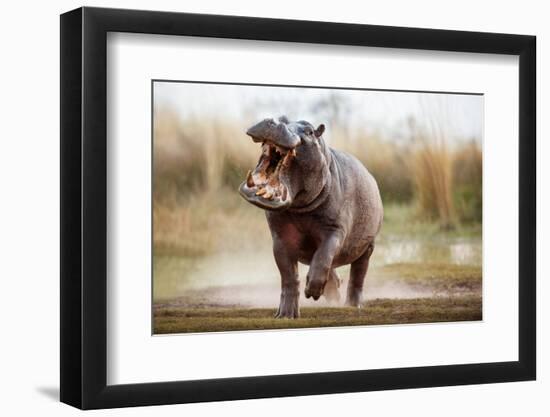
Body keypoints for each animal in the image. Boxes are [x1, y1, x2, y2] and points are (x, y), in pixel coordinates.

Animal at [237, 115, 384, 316]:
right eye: (282, 118)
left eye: (309, 131)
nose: (273, 121)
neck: (300, 208)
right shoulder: (280, 238)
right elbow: (289, 276)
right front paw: (285, 315)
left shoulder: (335, 229)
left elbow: (324, 255)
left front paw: (312, 291)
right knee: (331, 269)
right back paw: (333, 295)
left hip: (368, 246)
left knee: (358, 274)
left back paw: (353, 305)